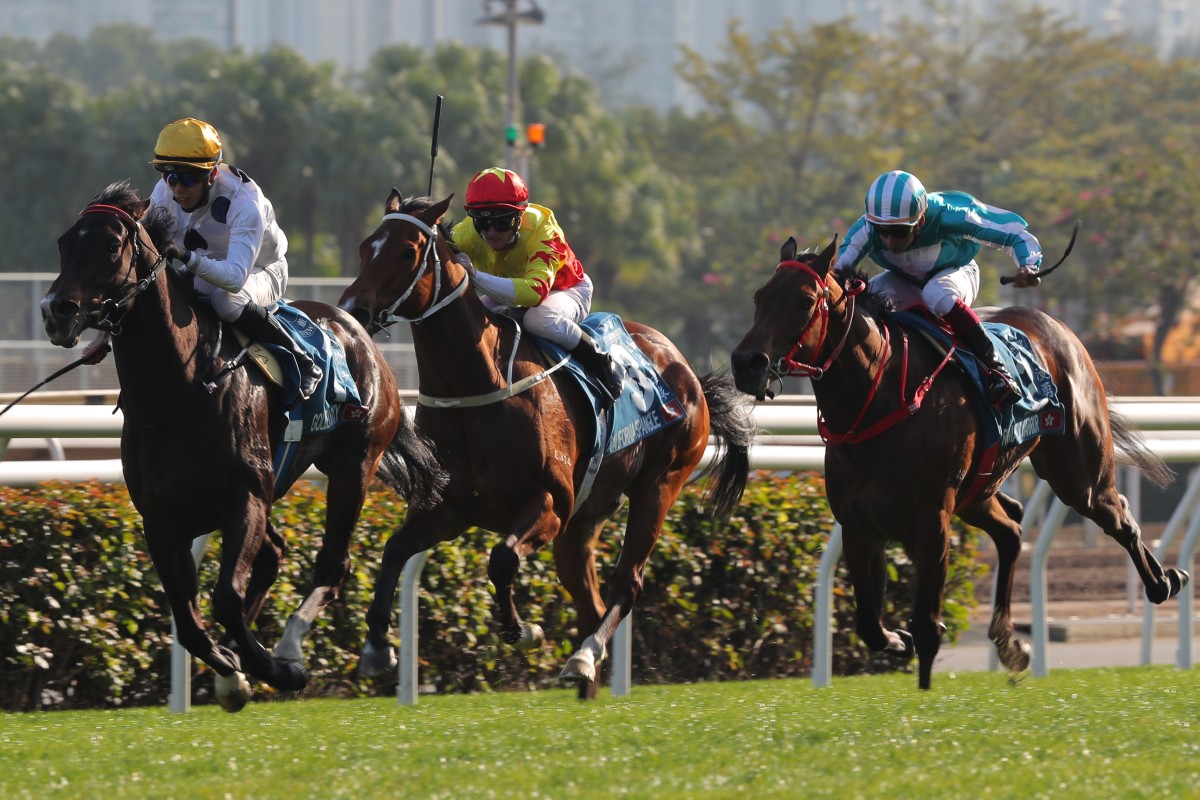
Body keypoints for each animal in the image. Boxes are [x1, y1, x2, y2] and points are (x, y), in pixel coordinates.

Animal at [43, 183, 446, 714]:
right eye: (64, 243)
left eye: (111, 246)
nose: (56, 311)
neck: (178, 392)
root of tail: (354, 326)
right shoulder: (162, 520)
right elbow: (188, 619)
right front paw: (232, 671)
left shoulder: (245, 500)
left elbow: (225, 599)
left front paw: (278, 671)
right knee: (275, 553)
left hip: (352, 466)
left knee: (333, 563)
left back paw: (296, 648)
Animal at [338, 190, 748, 695]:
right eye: (364, 247)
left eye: (406, 252)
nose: (353, 309)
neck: (478, 386)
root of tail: (688, 372)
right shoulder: (449, 508)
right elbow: (395, 550)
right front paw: (377, 647)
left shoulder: (549, 503)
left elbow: (501, 559)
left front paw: (522, 629)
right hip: (584, 520)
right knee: (590, 601)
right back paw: (584, 678)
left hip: (659, 486)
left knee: (627, 583)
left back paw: (585, 658)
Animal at [729, 236, 1190, 690]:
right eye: (758, 296)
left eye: (805, 301)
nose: (746, 363)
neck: (878, 399)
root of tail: (1059, 329)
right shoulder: (861, 528)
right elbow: (870, 627)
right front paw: (899, 640)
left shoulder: (932, 522)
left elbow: (928, 627)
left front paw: (924, 691)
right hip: (979, 490)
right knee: (1012, 527)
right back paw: (1010, 641)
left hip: (1078, 476)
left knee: (1118, 516)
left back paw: (1164, 581)